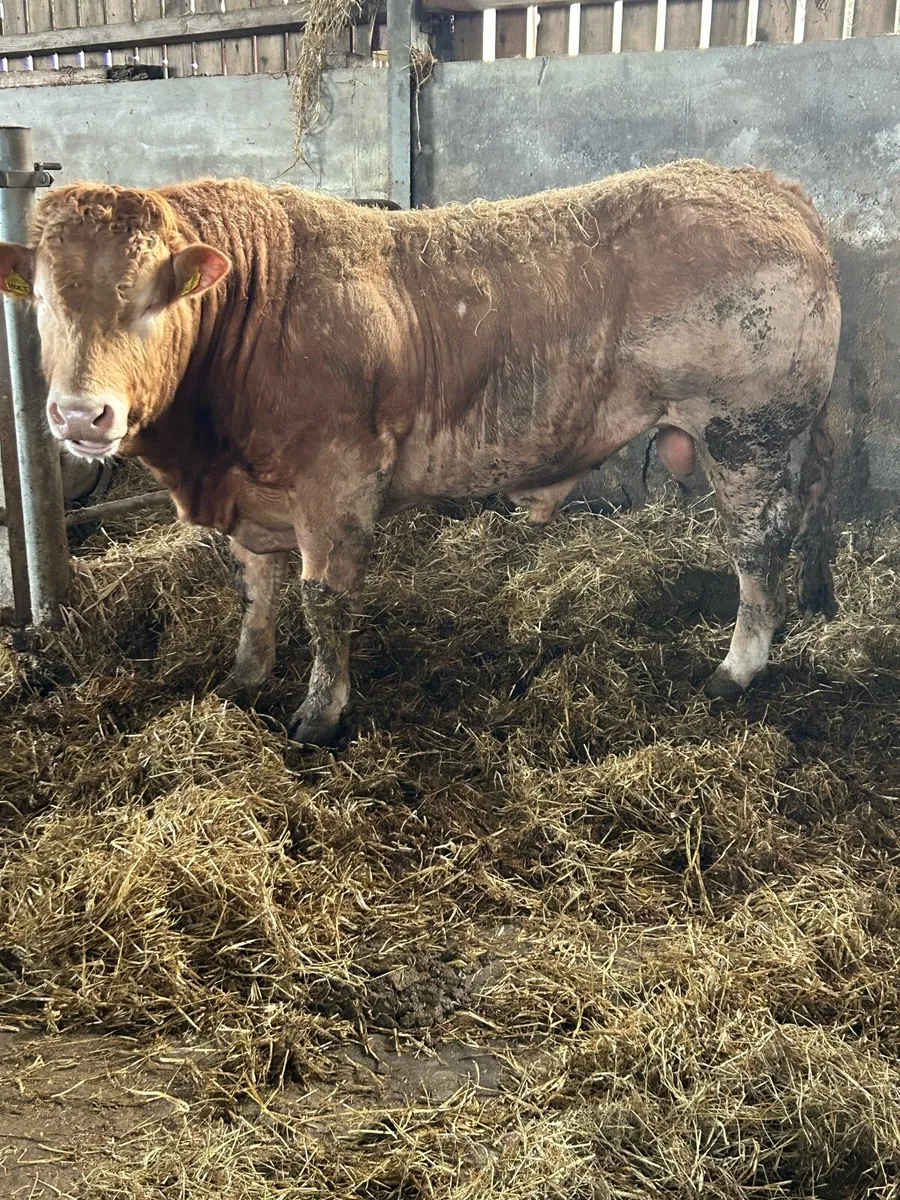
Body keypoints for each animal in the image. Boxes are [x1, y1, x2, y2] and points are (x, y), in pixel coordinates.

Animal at [0, 160, 841, 744]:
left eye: (154, 295)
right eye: (41, 298)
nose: (80, 414)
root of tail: (764, 185)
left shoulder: (334, 485)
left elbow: (322, 601)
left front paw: (319, 714)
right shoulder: (252, 498)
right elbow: (253, 590)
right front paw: (244, 678)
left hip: (745, 430)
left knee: (758, 543)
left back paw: (737, 667)